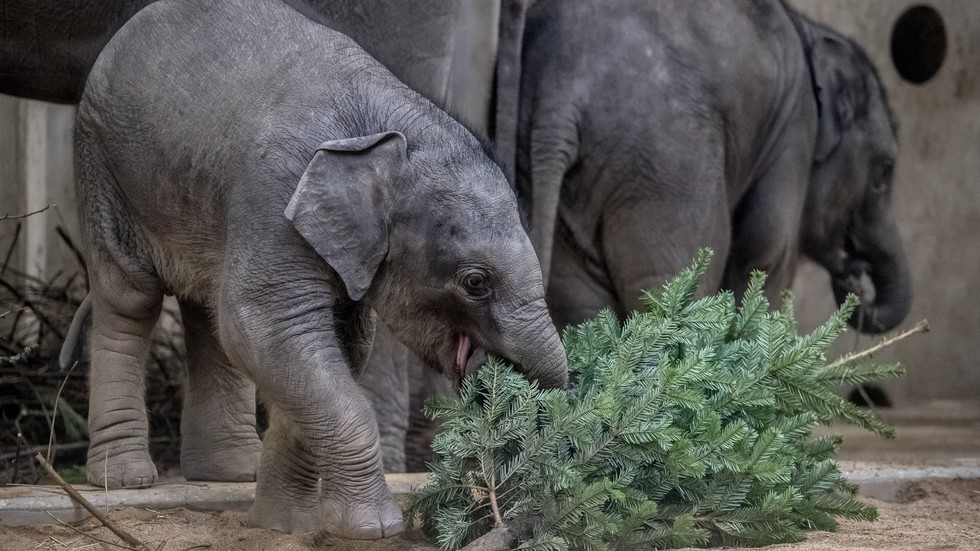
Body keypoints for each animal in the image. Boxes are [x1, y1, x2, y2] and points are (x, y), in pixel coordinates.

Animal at [71, 0, 568, 540]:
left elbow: (333, 344)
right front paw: (373, 529)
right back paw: (124, 478)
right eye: (475, 282)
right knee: (130, 297)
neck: (387, 129)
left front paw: (282, 525)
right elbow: (266, 329)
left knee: (206, 305)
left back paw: (229, 473)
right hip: (101, 161)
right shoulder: (274, 200)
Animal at [516, 0, 908, 332]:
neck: (810, 30)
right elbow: (767, 251)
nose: (857, 272)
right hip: (665, 168)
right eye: (883, 173)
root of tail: (561, 95)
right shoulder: (796, 125)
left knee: (582, 306)